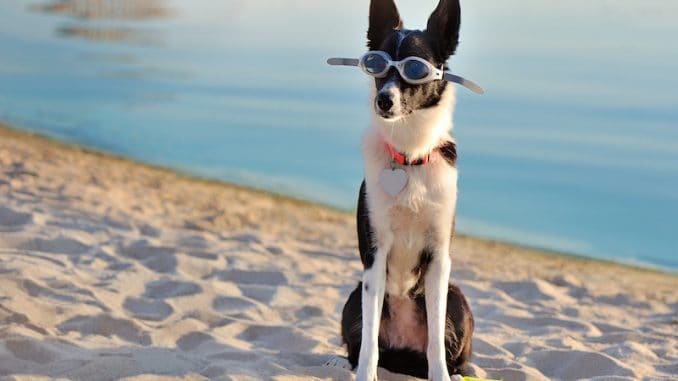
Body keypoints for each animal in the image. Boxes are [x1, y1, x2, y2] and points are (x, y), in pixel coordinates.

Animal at [340, 0, 478, 380]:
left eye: (415, 69)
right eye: (376, 64)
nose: (383, 100)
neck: (410, 156)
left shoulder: (439, 258)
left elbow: (435, 344)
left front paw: (440, 375)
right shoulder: (375, 255)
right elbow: (369, 342)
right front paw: (365, 374)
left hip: (458, 300)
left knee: (450, 349)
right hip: (352, 299)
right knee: (362, 343)